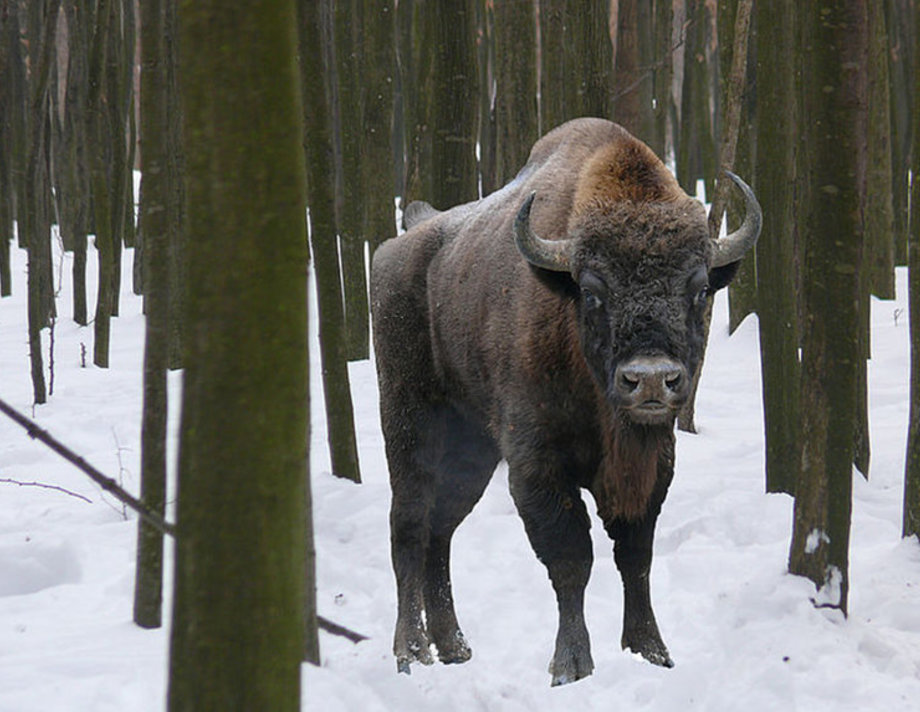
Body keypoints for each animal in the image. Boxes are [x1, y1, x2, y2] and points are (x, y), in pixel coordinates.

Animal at [368, 117, 760, 684]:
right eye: (593, 291)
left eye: (700, 289)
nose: (650, 380)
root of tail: (400, 244)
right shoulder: (539, 468)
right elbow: (572, 557)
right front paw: (572, 665)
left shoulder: (653, 468)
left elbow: (635, 556)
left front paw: (652, 652)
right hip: (407, 416)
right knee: (410, 525)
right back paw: (410, 653)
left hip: (473, 448)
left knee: (442, 530)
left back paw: (455, 647)